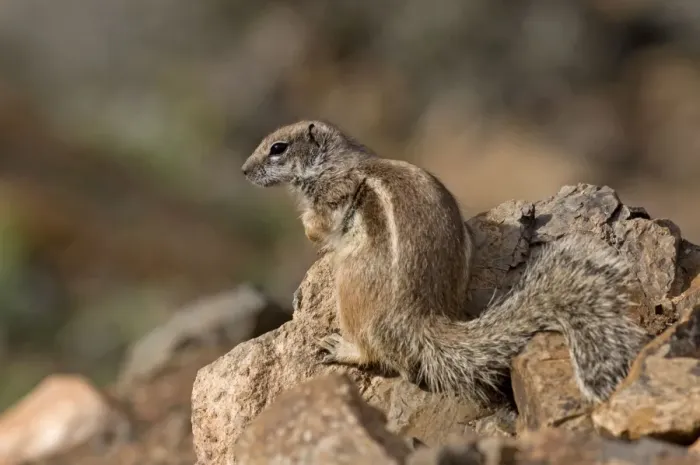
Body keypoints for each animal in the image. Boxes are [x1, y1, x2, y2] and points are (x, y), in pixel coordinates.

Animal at [241, 120, 651, 406]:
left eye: (278, 148)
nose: (244, 171)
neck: (337, 161)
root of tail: (421, 318)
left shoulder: (331, 198)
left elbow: (318, 226)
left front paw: (313, 236)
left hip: (351, 287)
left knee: (372, 352)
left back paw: (340, 347)